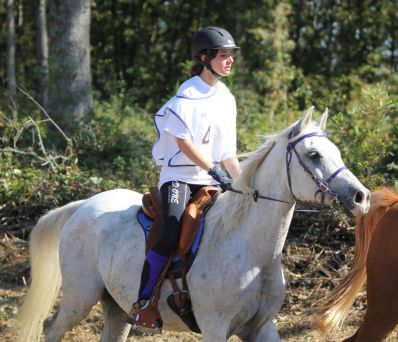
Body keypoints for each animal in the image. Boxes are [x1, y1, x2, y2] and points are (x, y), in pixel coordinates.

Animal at [14, 107, 370, 342]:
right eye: (313, 155)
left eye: (336, 152)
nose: (360, 196)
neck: (251, 252)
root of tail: (82, 207)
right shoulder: (215, 328)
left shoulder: (261, 328)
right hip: (80, 297)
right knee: (51, 328)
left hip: (116, 308)